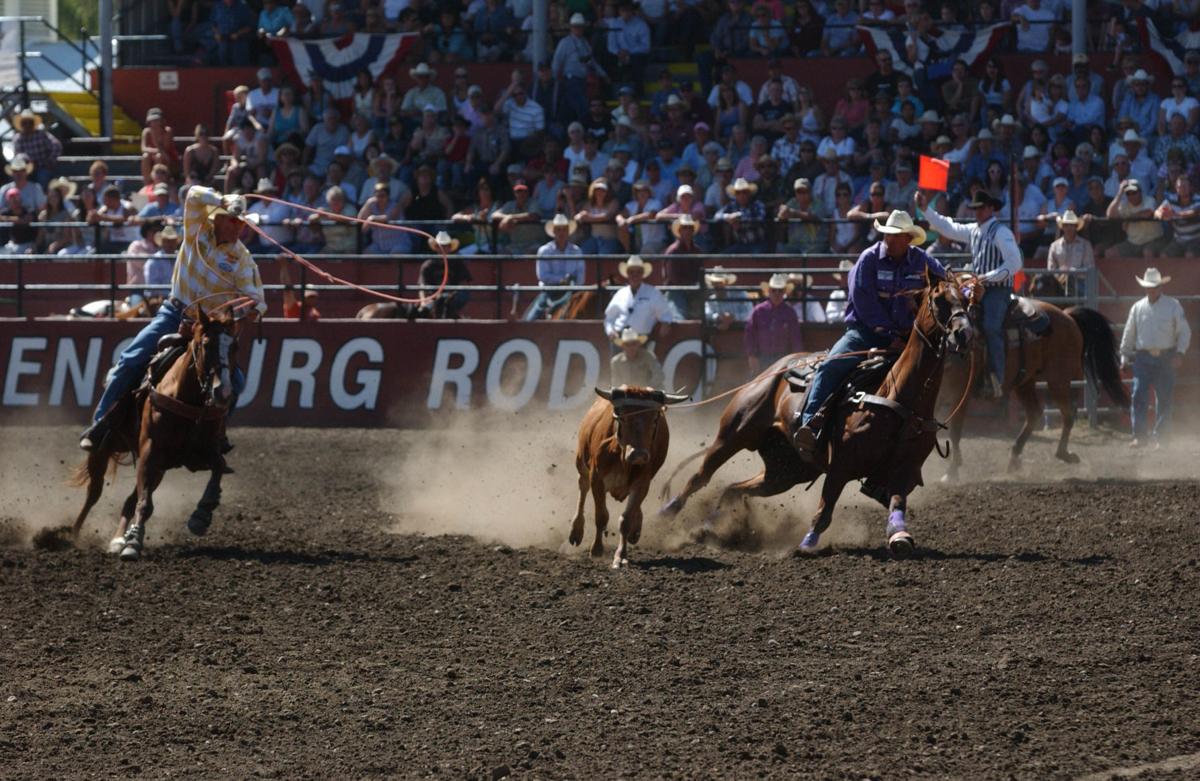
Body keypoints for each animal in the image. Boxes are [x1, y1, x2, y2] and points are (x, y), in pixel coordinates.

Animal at [69, 309, 242, 559]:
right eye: (206, 344)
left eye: (234, 346)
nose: (223, 392)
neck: (190, 401)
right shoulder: (151, 451)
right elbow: (145, 504)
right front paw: (133, 544)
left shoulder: (200, 454)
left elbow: (219, 465)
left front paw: (201, 515)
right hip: (105, 448)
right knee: (94, 492)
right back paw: (72, 535)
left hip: (159, 468)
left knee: (130, 499)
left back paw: (118, 539)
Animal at [657, 272, 974, 559]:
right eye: (939, 299)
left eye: (966, 300)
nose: (964, 333)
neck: (897, 398)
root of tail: (777, 367)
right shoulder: (841, 465)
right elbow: (825, 508)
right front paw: (808, 543)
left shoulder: (904, 469)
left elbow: (897, 503)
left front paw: (900, 536)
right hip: (733, 434)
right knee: (700, 476)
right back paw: (667, 512)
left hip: (786, 471)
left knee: (735, 489)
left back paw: (709, 528)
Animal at [940, 299, 1128, 479]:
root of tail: (1067, 315)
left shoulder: (960, 393)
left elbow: (954, 430)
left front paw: (951, 471)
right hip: (1025, 381)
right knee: (1034, 413)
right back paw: (1014, 459)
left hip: (1058, 379)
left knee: (1067, 413)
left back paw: (1063, 454)